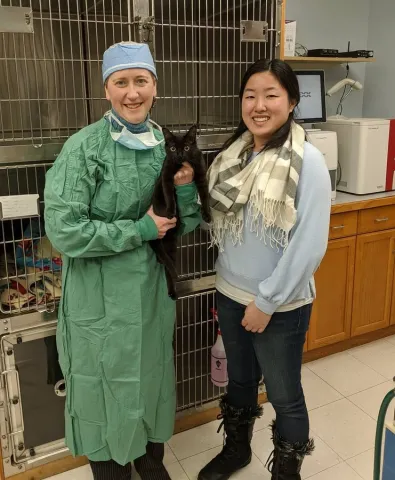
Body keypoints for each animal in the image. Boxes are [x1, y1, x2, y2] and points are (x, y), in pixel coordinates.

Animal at [149, 125, 212, 302]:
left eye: (186, 148)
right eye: (172, 148)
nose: (179, 154)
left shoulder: (200, 174)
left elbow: (205, 196)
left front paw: (207, 214)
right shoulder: (166, 174)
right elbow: (169, 194)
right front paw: (171, 211)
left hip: (171, 246)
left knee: (167, 266)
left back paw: (172, 291)